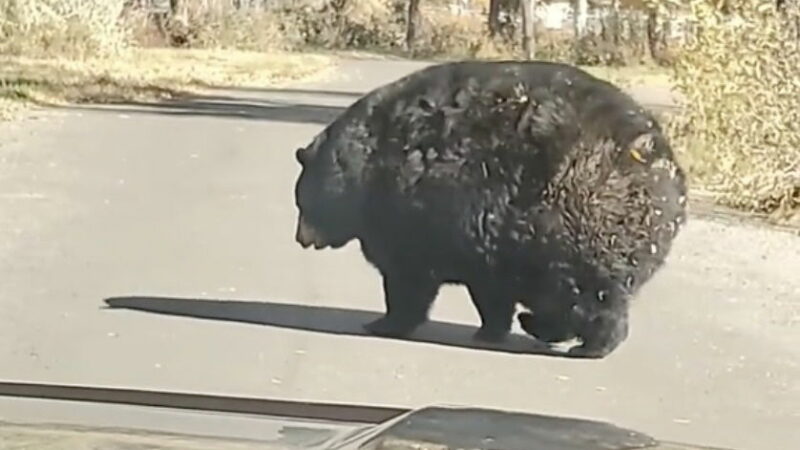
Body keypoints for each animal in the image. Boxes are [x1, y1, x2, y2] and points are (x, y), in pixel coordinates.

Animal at [294, 61, 688, 358]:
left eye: (300, 201)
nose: (300, 238)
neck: (361, 167)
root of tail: (656, 157)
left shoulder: (413, 215)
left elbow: (409, 277)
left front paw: (385, 322)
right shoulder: (487, 241)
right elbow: (490, 290)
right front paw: (491, 329)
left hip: (575, 220)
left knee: (585, 293)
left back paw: (588, 344)